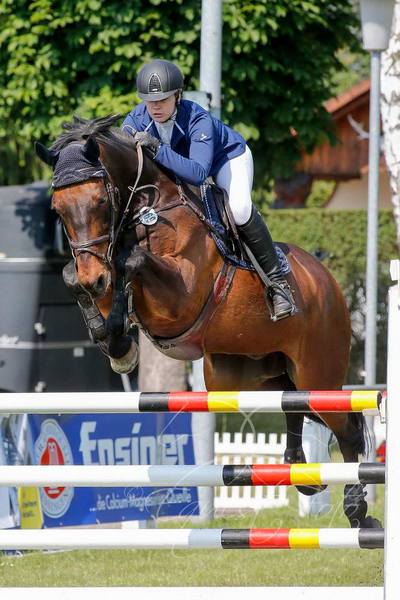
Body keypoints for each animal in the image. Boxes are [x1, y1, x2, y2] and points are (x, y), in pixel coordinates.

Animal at [35, 114, 380, 529]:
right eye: (58, 210)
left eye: (101, 201)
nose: (95, 280)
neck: (147, 210)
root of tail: (327, 281)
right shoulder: (100, 272)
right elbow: (75, 275)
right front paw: (113, 340)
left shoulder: (180, 296)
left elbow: (132, 261)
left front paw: (120, 339)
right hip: (251, 375)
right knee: (294, 405)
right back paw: (302, 474)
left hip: (318, 373)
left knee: (347, 429)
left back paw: (357, 511)